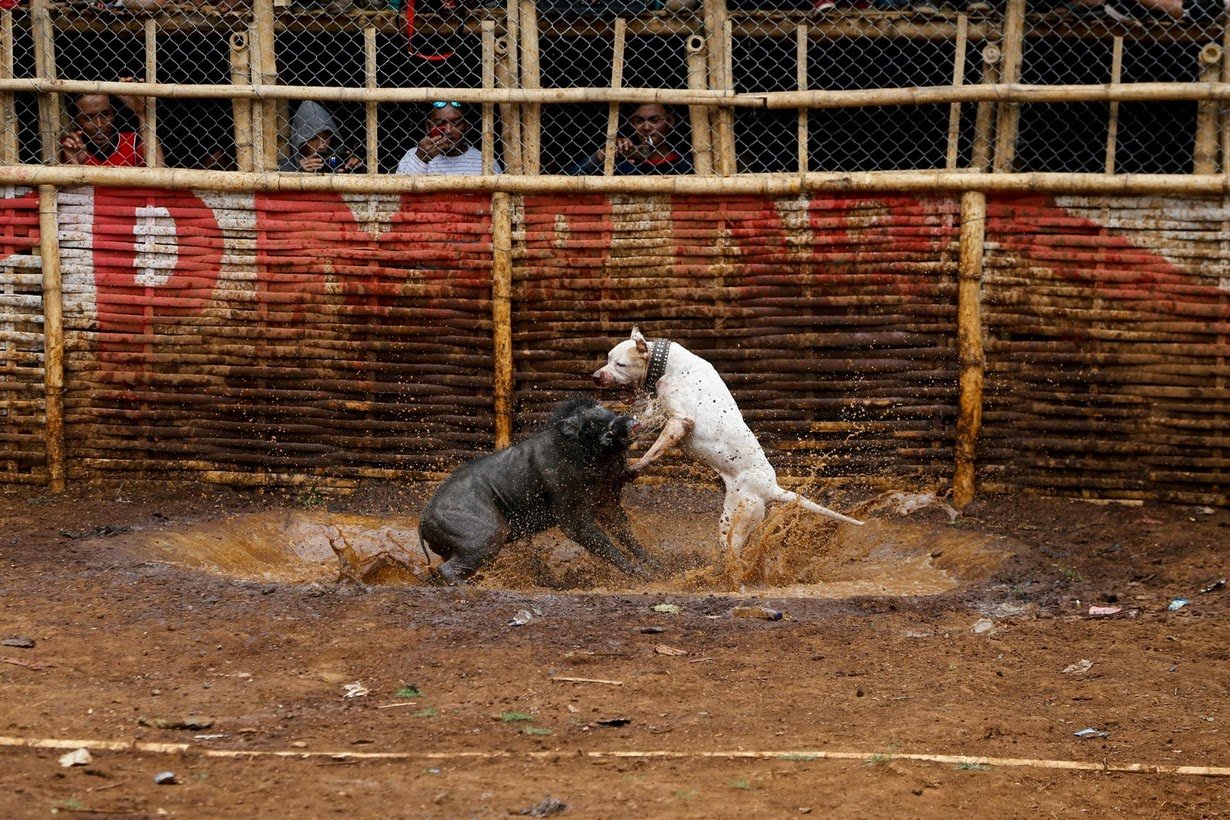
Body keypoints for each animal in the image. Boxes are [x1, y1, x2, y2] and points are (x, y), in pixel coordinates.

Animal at [590, 324, 861, 550]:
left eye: (620, 365)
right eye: (608, 359)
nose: (596, 376)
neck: (667, 365)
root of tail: (771, 487)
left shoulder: (680, 422)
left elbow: (653, 452)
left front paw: (633, 469)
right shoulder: (660, 412)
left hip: (740, 519)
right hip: (731, 517)